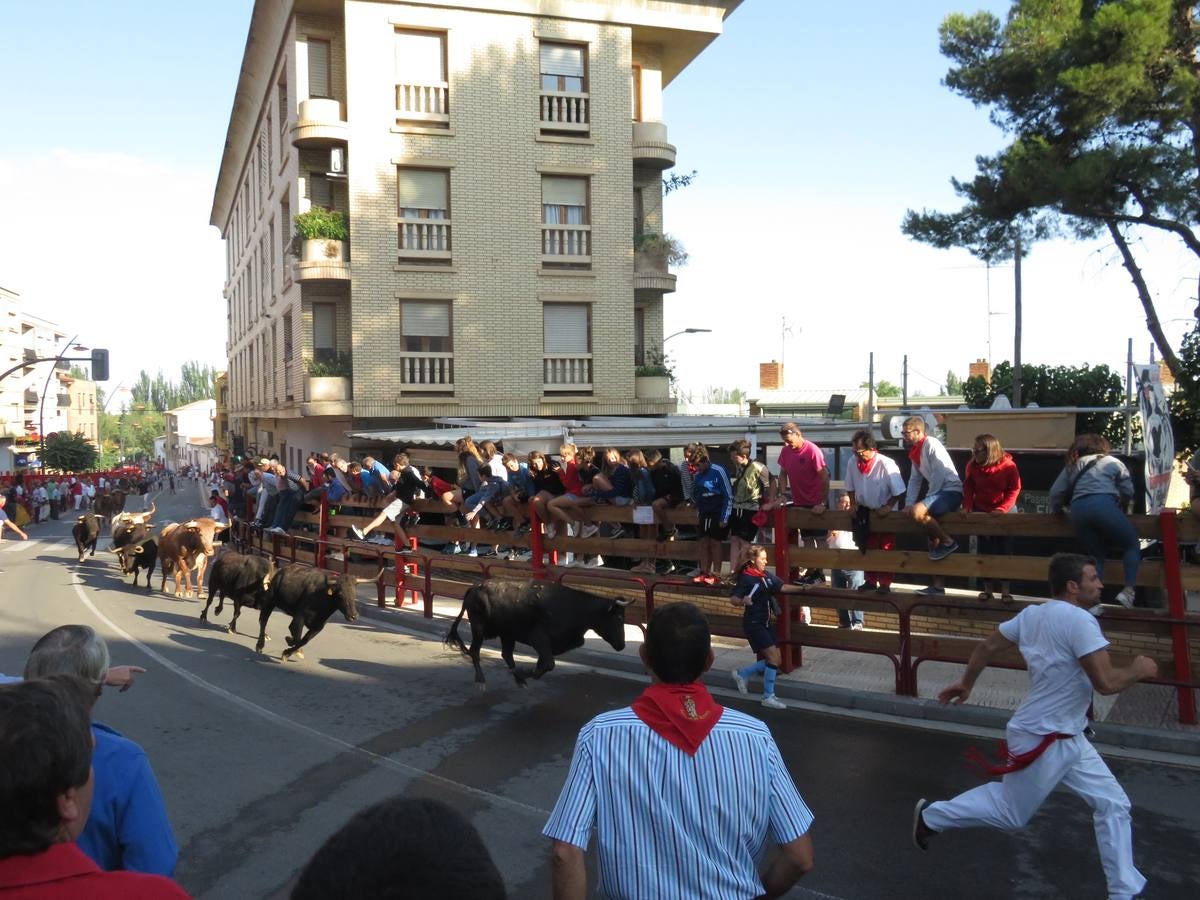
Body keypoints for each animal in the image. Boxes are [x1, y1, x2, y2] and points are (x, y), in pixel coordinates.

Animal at [441, 580, 628, 686]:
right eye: (618, 618)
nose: (622, 645)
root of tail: (475, 588)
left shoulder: (547, 645)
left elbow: (543, 664)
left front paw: (526, 673)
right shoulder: (539, 639)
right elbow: (549, 664)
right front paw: (527, 672)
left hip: (507, 634)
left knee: (506, 654)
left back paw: (519, 679)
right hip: (479, 629)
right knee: (475, 651)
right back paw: (481, 680)